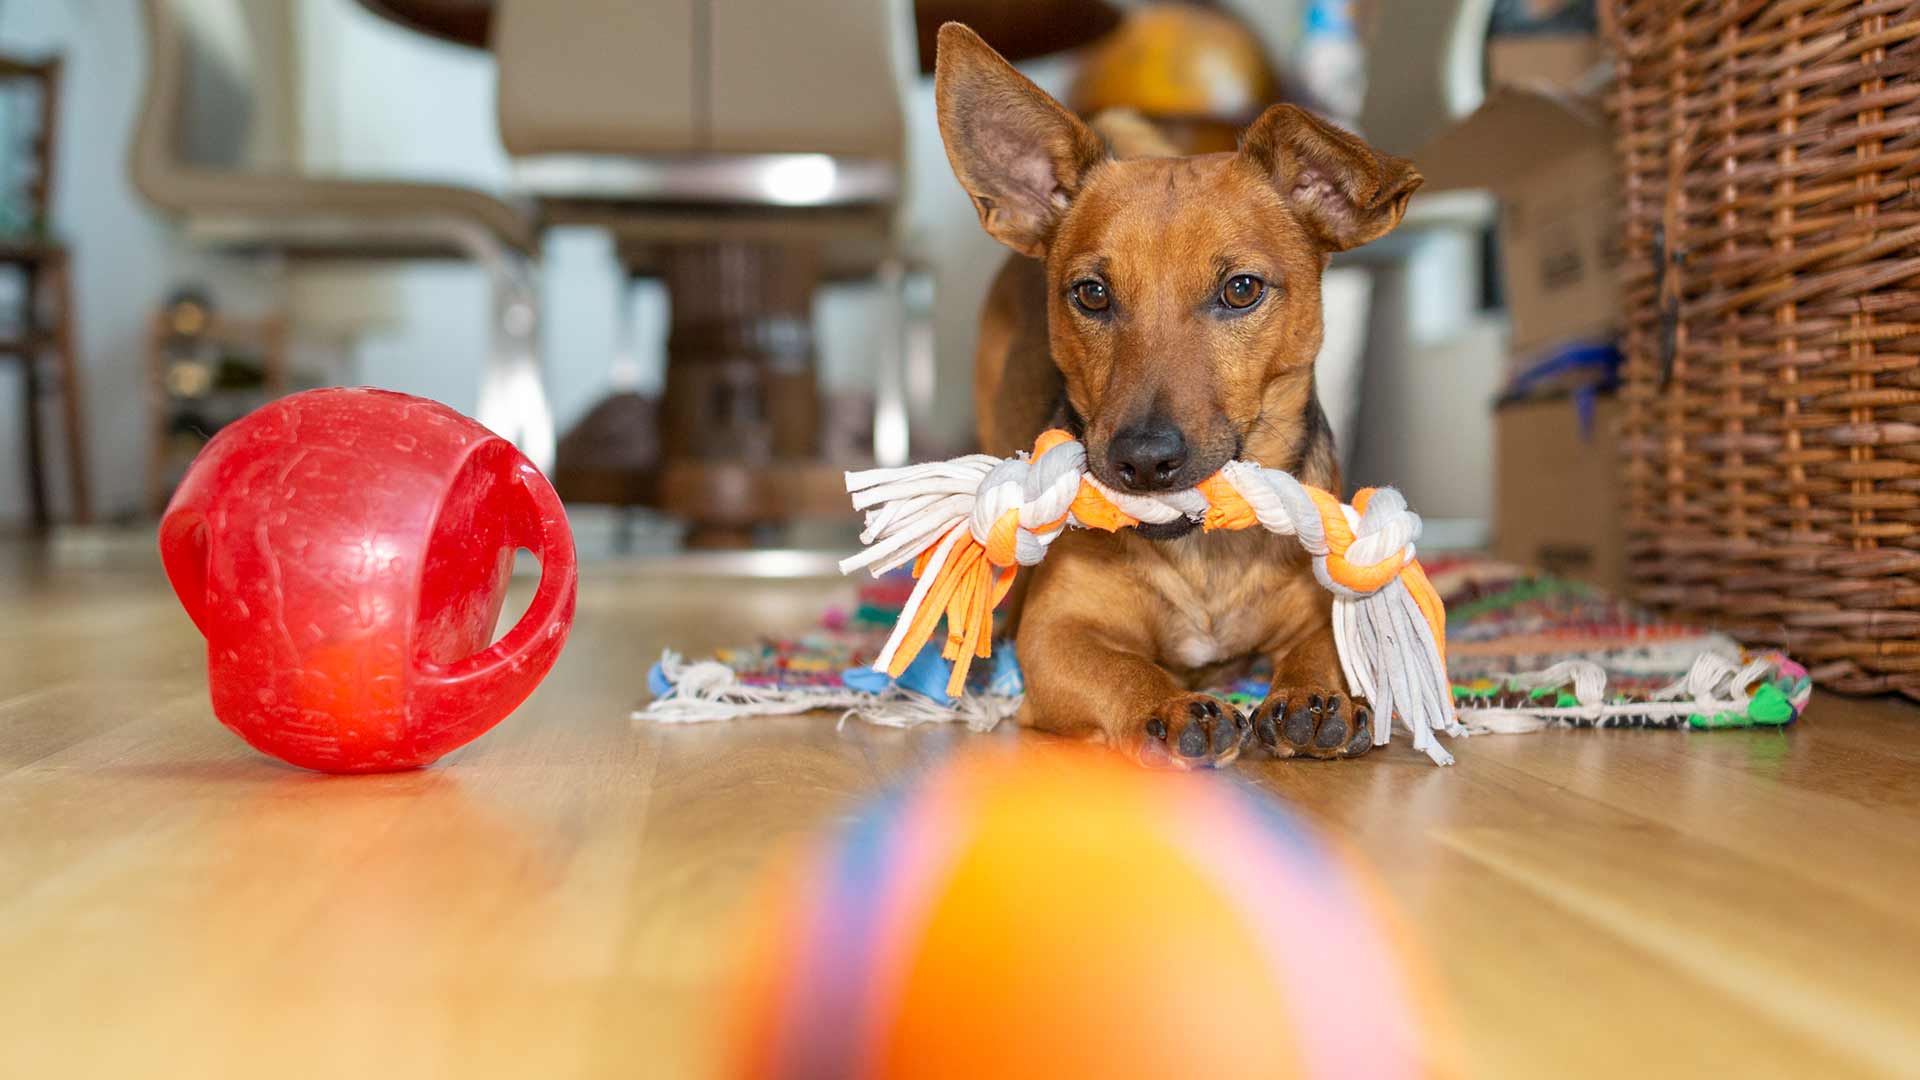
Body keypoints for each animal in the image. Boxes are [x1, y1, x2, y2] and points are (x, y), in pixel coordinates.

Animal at [936, 25, 1420, 764]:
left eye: (1242, 289)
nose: (1143, 460)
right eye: (1092, 294)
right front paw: (1167, 705)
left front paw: (1314, 695)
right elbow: (1124, 669)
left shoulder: (1326, 604)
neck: (1199, 553)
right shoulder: (1059, 634)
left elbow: (1327, 649)